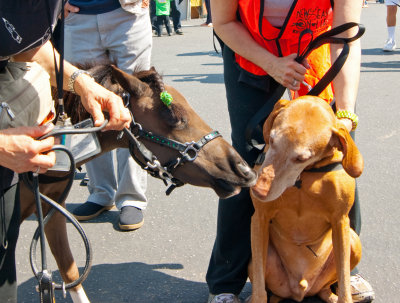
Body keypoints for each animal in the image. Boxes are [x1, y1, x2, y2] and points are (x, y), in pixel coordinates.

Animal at [248, 96, 364, 302]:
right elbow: (259, 290)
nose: (258, 191)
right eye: (272, 140)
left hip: (352, 240)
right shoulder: (259, 218)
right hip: (258, 262)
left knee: (327, 287)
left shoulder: (340, 221)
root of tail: (300, 289)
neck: (304, 176)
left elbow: (344, 284)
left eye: (301, 158)